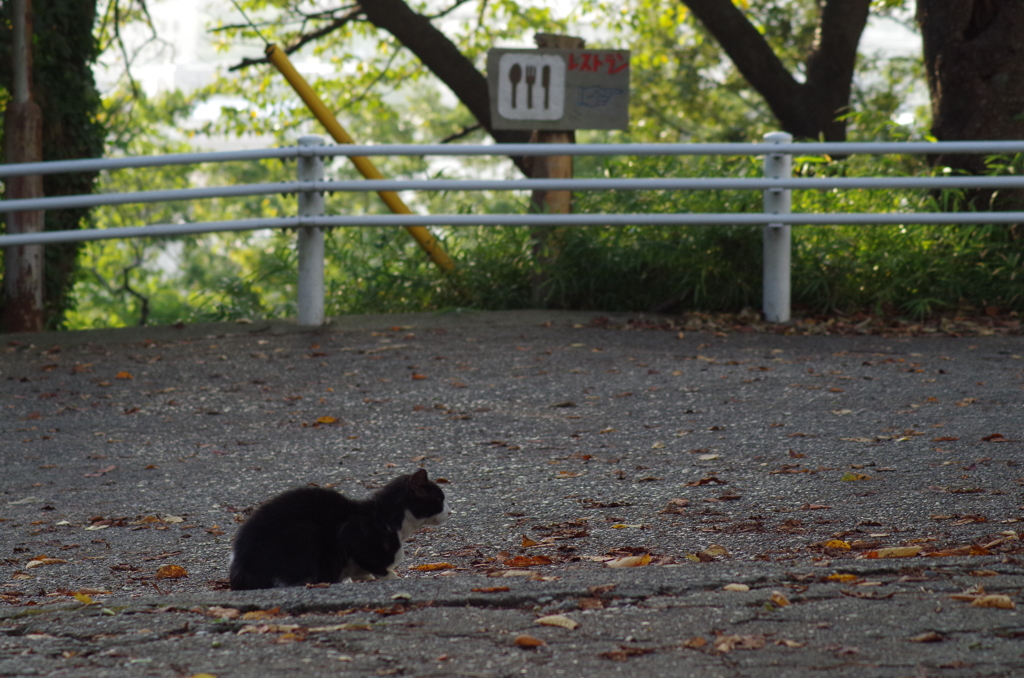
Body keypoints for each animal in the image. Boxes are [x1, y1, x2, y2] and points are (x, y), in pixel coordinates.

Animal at [230, 471, 450, 594]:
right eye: (440, 499)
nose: (450, 511)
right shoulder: (354, 534)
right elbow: (376, 564)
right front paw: (392, 578)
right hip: (304, 531)